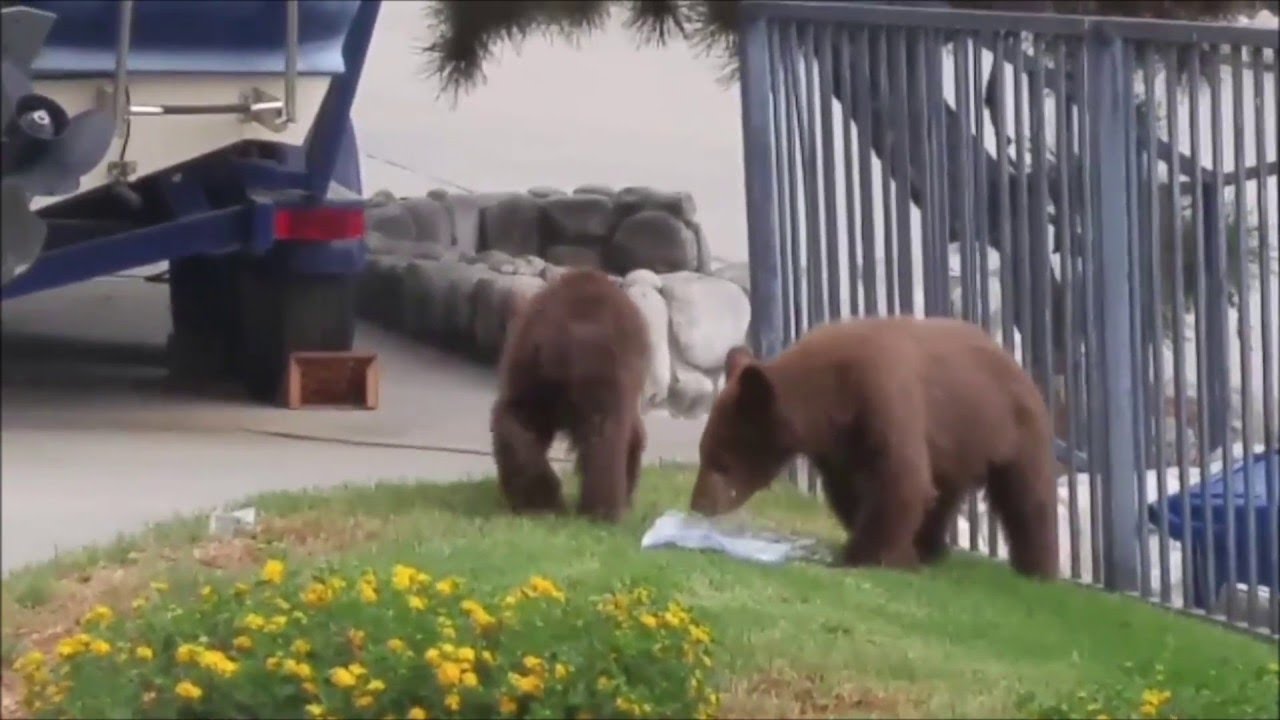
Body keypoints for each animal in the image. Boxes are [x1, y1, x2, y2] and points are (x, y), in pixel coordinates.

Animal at [490, 268, 651, 523]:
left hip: (537, 373)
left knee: (517, 422)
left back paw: (544, 503)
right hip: (594, 370)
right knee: (604, 433)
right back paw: (599, 509)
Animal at [688, 315, 1059, 579]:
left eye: (721, 462)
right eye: (703, 453)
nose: (698, 505)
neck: (830, 395)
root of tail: (1015, 362)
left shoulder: (884, 395)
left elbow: (900, 479)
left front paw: (864, 556)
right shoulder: (838, 443)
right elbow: (849, 490)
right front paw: (896, 551)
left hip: (1011, 427)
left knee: (1026, 495)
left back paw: (1037, 568)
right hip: (957, 447)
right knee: (943, 495)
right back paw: (931, 547)